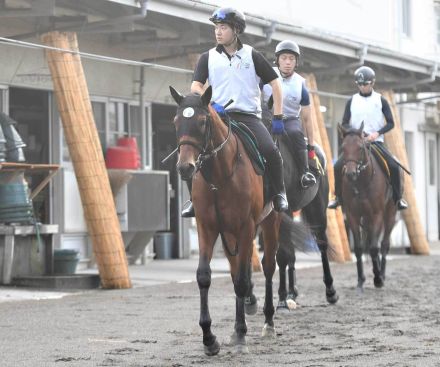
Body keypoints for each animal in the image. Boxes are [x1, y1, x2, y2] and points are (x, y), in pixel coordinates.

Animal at [168, 85, 306, 356]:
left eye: (202, 122)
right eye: (176, 121)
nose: (185, 167)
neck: (219, 177)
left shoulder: (246, 227)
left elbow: (243, 280)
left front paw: (242, 334)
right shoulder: (208, 228)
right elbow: (205, 276)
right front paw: (209, 338)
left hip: (269, 224)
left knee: (268, 267)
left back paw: (268, 322)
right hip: (229, 233)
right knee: (235, 271)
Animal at [276, 136, 338, 310]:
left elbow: (282, 255)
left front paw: (281, 299)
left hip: (317, 209)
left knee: (322, 244)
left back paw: (330, 291)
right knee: (291, 251)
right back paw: (292, 293)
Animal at [338, 122, 398, 292]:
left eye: (360, 147)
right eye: (343, 147)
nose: (350, 174)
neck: (361, 183)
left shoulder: (377, 214)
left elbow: (373, 248)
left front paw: (377, 279)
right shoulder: (352, 215)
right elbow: (359, 248)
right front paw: (360, 280)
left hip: (390, 214)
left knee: (383, 244)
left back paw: (381, 274)